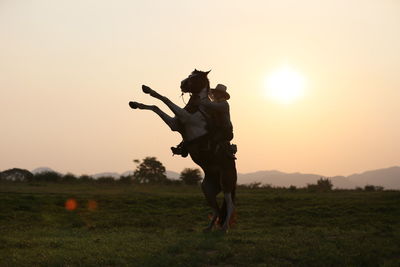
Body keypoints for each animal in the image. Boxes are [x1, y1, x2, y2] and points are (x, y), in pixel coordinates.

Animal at [130, 70, 238, 233]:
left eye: (195, 77)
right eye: (190, 74)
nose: (181, 84)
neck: (198, 109)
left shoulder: (186, 119)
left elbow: (165, 99)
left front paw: (148, 91)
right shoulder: (175, 124)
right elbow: (156, 107)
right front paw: (137, 102)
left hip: (226, 184)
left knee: (230, 206)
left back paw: (224, 228)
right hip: (207, 190)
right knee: (217, 210)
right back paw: (209, 228)